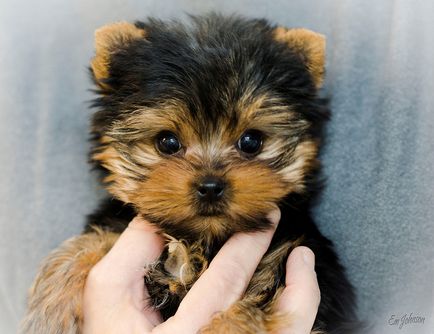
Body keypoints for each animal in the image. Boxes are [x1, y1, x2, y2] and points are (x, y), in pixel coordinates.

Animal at [21, 13, 356, 334]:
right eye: (167, 142)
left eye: (251, 141)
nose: (210, 186)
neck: (202, 239)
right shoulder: (118, 223)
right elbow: (86, 243)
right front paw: (49, 310)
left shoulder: (294, 257)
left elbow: (254, 307)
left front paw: (229, 326)